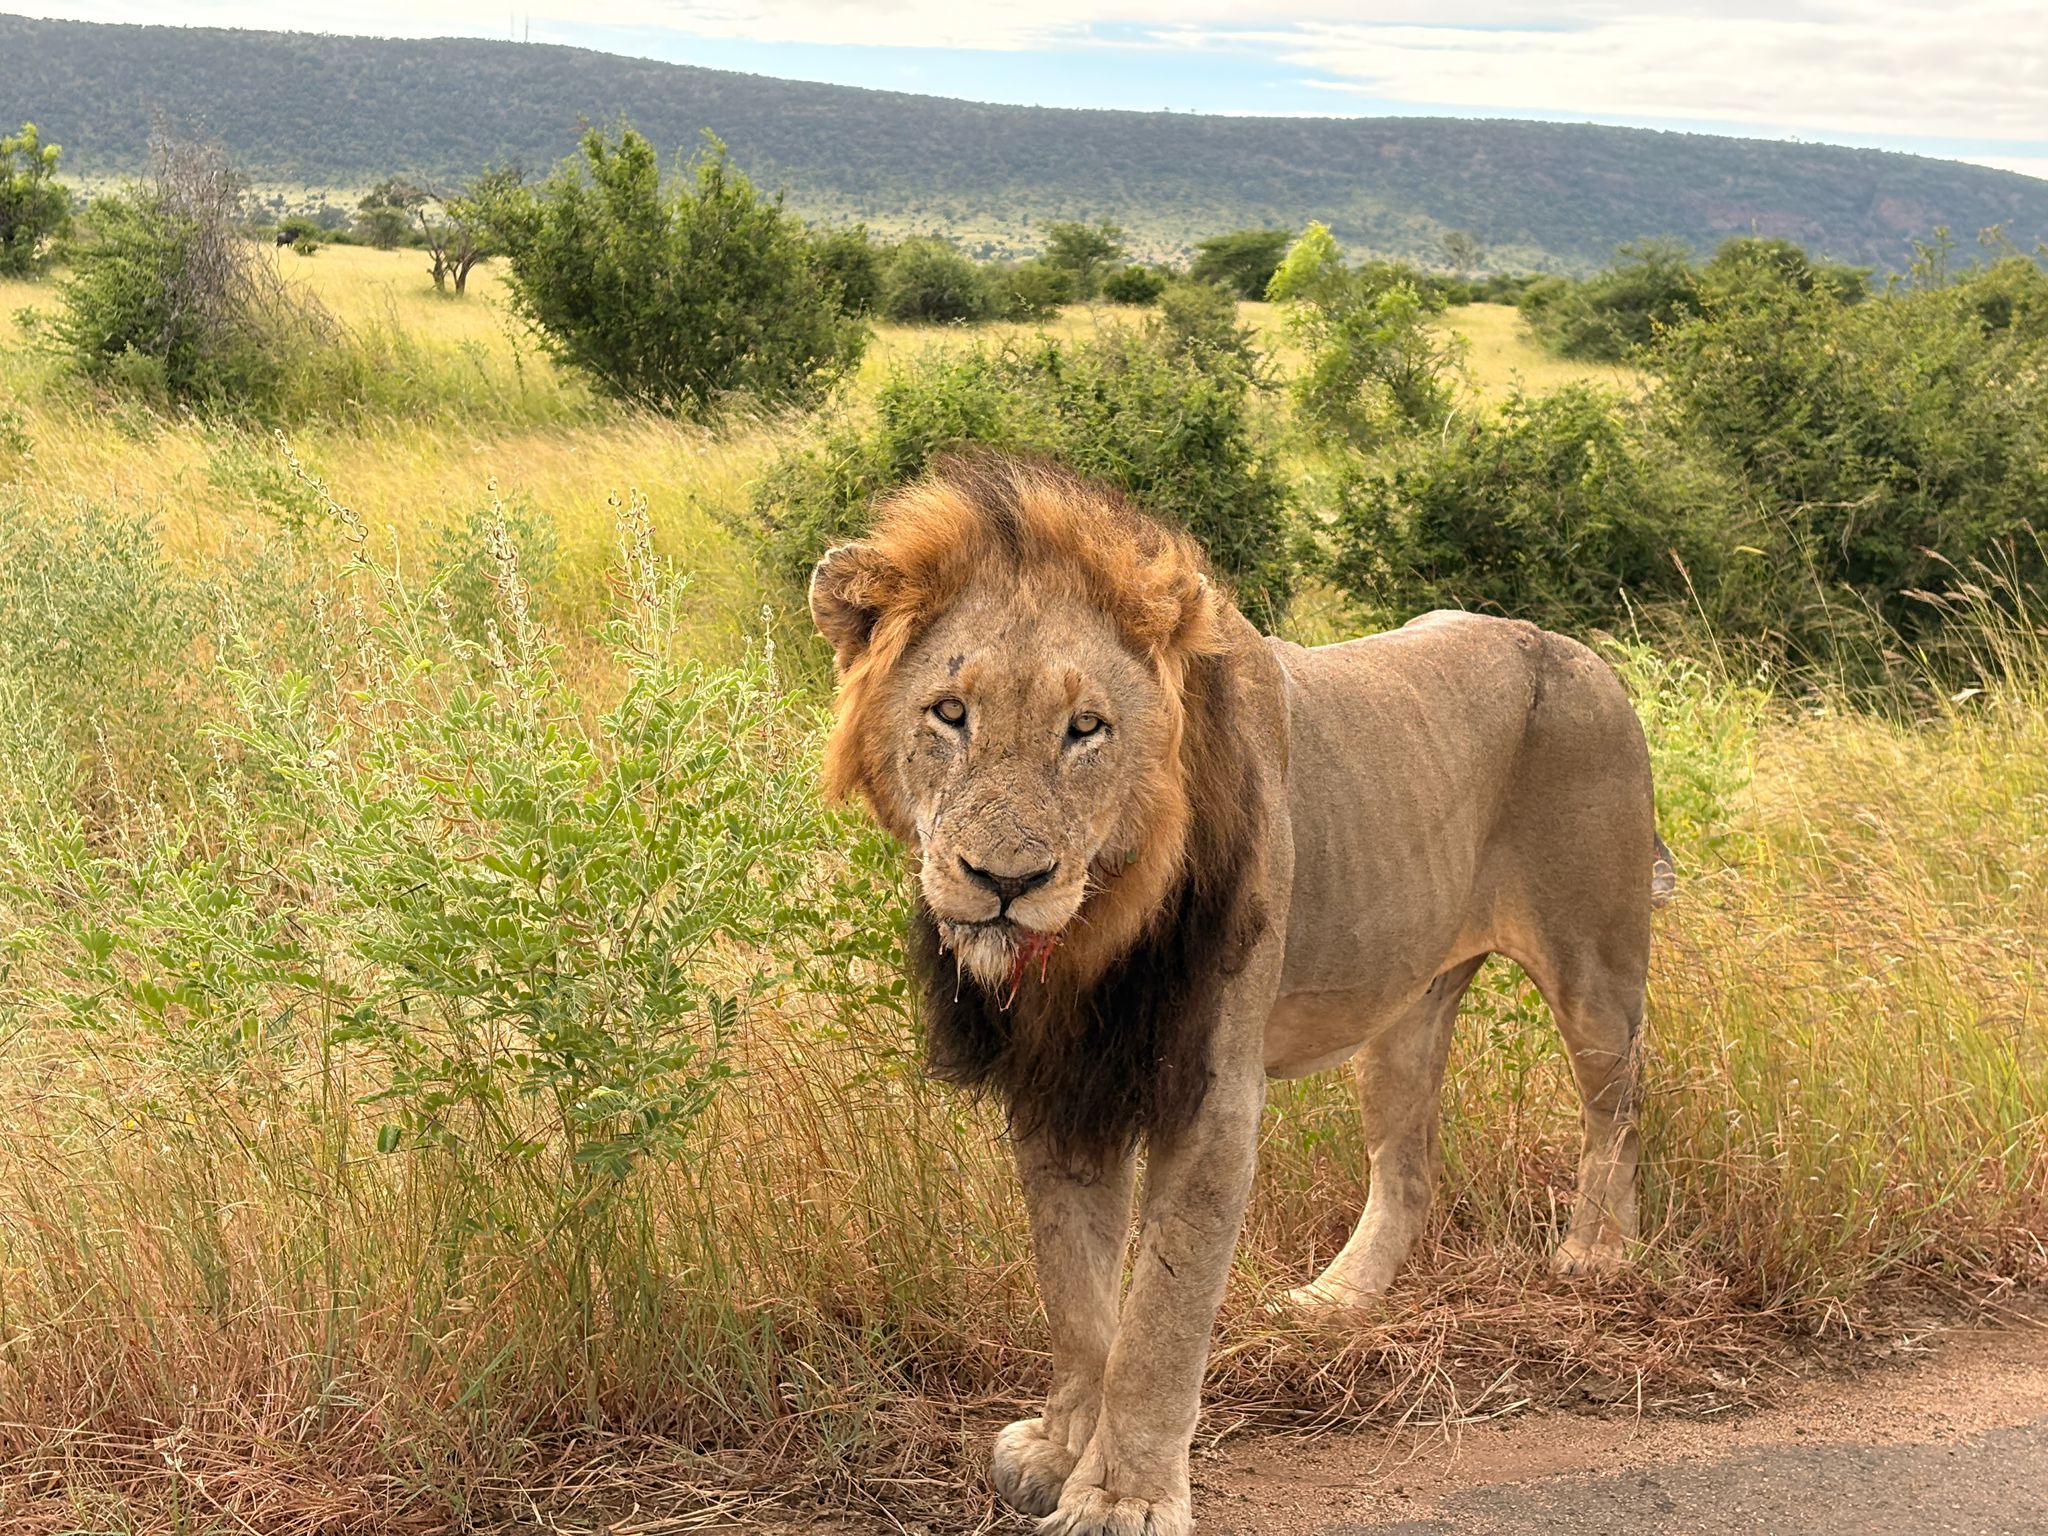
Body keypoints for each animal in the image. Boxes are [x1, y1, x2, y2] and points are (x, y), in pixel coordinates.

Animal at [809, 454, 1664, 1536]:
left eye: (1086, 729)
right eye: (949, 713)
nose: (1006, 880)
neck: (1094, 931)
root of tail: (1586, 655)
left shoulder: (1211, 1090)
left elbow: (1159, 1317)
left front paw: (1121, 1498)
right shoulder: (1060, 1082)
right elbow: (1077, 1297)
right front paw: (1061, 1450)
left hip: (1595, 967)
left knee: (1618, 1112)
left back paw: (1598, 1255)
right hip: (1404, 1011)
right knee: (1410, 1172)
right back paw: (1337, 1302)